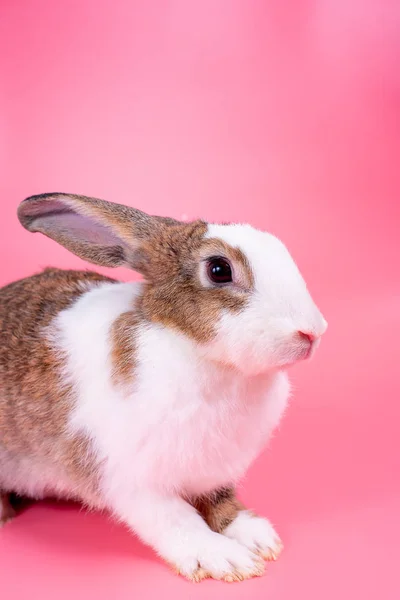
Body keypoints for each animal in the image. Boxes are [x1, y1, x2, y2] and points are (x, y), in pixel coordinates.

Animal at [0, 195, 326, 584]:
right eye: (219, 269)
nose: (312, 332)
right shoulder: (135, 482)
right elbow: (178, 521)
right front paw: (228, 560)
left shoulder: (214, 474)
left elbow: (222, 502)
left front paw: (258, 538)